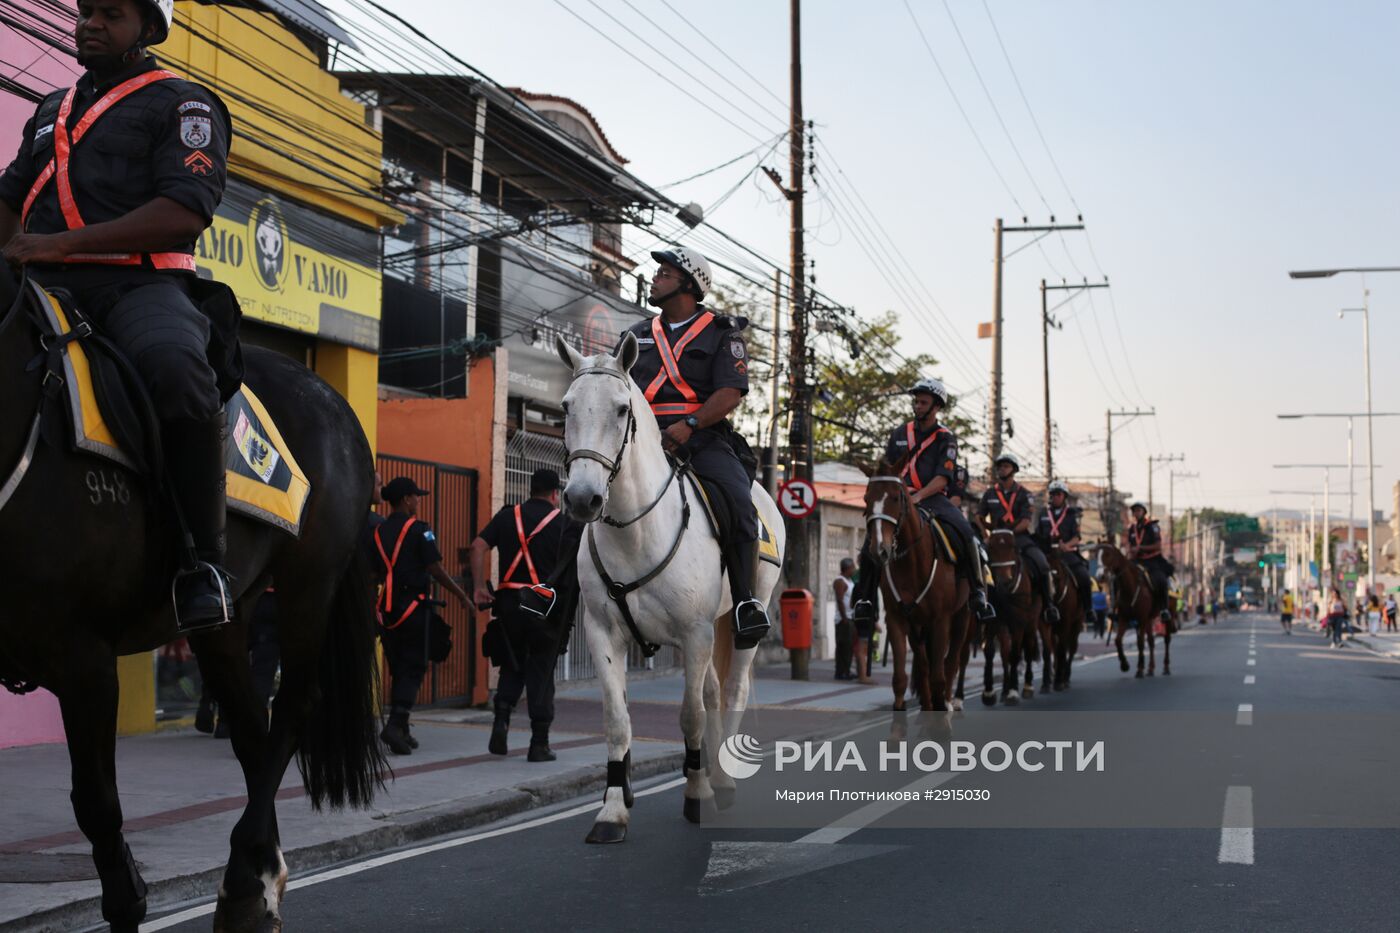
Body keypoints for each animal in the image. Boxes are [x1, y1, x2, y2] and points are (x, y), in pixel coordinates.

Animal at [0, 263, 383, 930]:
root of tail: (331, 396)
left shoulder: (83, 660)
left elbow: (98, 810)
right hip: (230, 617)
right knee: (252, 727)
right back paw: (257, 881)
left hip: (310, 581)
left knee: (293, 707)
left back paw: (242, 882)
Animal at [554, 334, 789, 840]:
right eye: (566, 406)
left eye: (622, 408)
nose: (583, 499)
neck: (636, 530)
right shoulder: (604, 634)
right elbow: (617, 718)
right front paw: (613, 808)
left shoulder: (694, 634)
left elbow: (690, 715)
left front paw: (697, 794)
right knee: (714, 692)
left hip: (742, 618)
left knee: (731, 692)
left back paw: (721, 781)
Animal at [856, 465, 968, 711]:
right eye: (866, 498)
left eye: (896, 498)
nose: (879, 550)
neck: (912, 562)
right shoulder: (897, 619)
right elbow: (901, 679)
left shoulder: (941, 620)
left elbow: (939, 676)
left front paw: (942, 706)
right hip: (918, 625)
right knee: (924, 665)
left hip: (962, 617)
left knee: (952, 662)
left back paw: (950, 701)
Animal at [980, 526, 1047, 700]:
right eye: (991, 547)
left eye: (1013, 547)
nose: (1004, 581)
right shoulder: (994, 621)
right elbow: (991, 651)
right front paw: (989, 692)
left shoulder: (1018, 621)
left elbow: (1015, 653)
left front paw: (1013, 691)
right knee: (1005, 652)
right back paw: (1005, 689)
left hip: (1031, 620)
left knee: (1028, 647)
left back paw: (1028, 686)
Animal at [1092, 537, 1170, 675]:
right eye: (1096, 555)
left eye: (1108, 554)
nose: (1100, 576)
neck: (1130, 587)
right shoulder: (1124, 618)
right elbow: (1118, 640)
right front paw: (1125, 664)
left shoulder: (1142, 619)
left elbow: (1140, 642)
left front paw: (1139, 669)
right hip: (1149, 619)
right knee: (1151, 641)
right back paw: (1150, 668)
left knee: (1166, 639)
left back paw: (1165, 667)